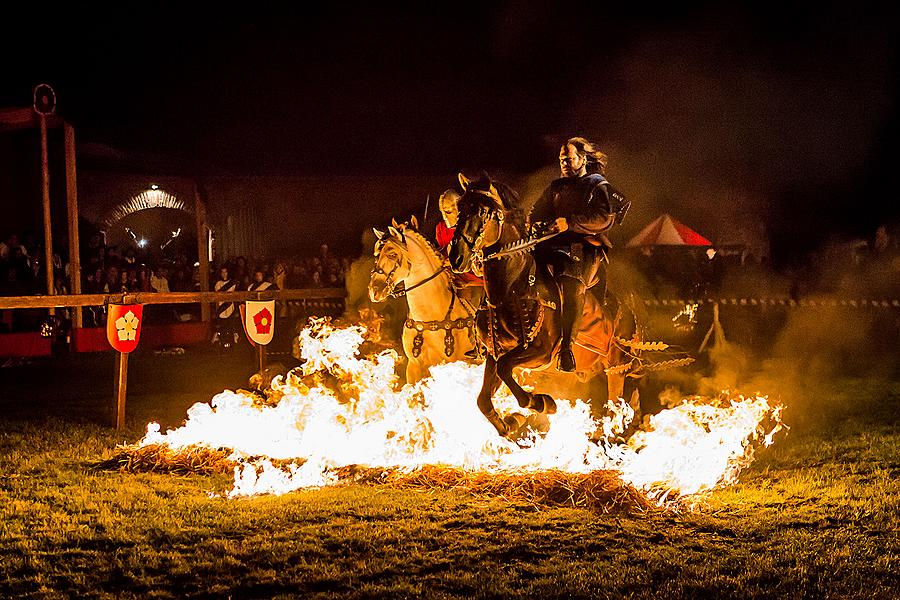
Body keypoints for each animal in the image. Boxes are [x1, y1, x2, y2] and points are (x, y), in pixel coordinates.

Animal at [448, 171, 644, 438]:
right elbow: (484, 400)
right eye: (460, 210)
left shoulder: (538, 353)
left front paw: (540, 402)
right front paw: (509, 424)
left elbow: (507, 372)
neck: (513, 288)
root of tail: (629, 312)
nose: (457, 257)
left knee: (616, 405)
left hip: (616, 368)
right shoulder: (495, 355)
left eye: (484, 212)